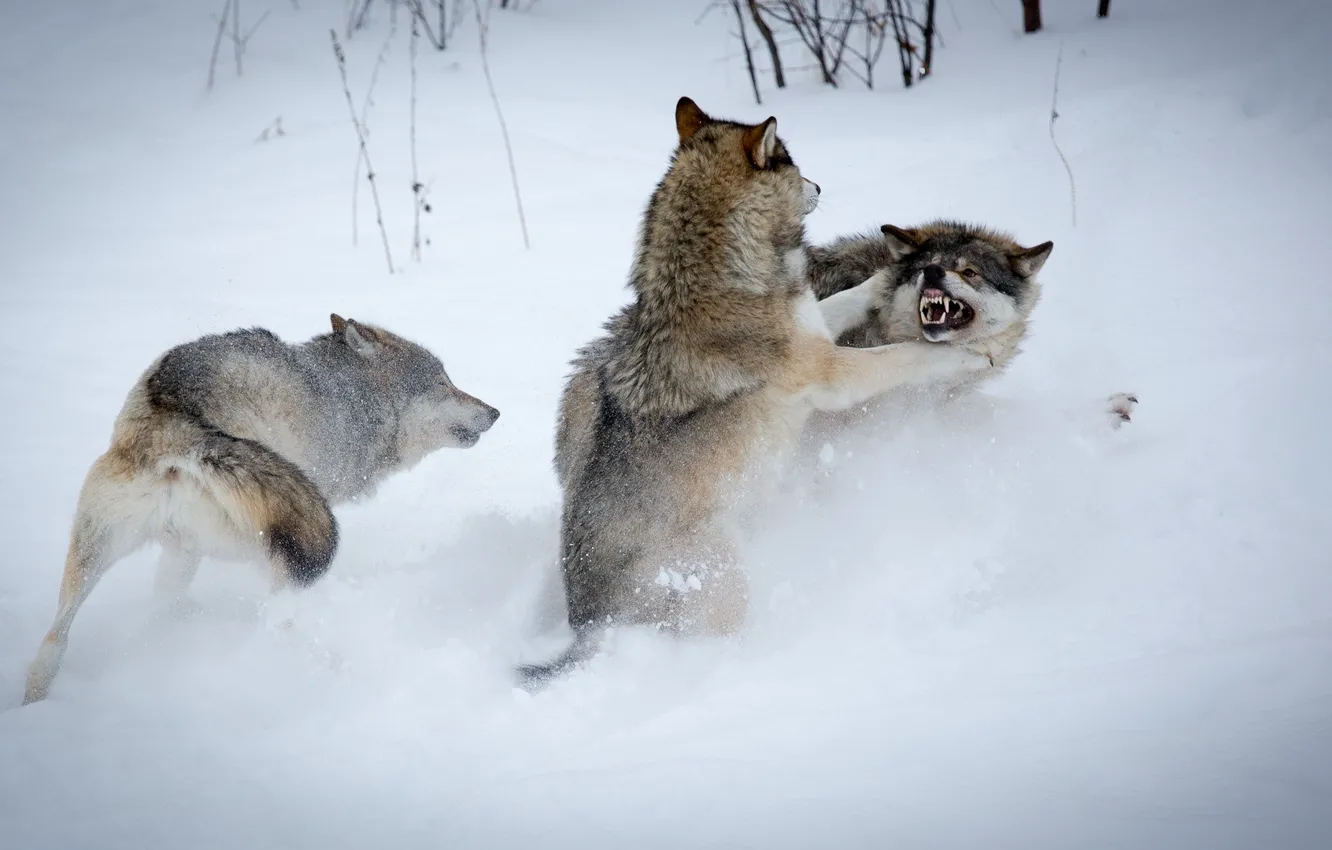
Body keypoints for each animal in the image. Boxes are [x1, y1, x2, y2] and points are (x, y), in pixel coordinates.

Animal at [23, 314, 500, 704]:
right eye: (443, 382)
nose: (495, 411)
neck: (351, 400)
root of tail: (177, 423)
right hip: (282, 545)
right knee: (276, 619)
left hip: (116, 554)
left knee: (57, 638)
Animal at [517, 98, 994, 687]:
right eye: (792, 161)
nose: (819, 184)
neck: (717, 275)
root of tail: (589, 624)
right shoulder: (832, 374)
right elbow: (907, 355)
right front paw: (966, 356)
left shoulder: (815, 327)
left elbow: (850, 298)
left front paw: (885, 276)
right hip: (727, 577)